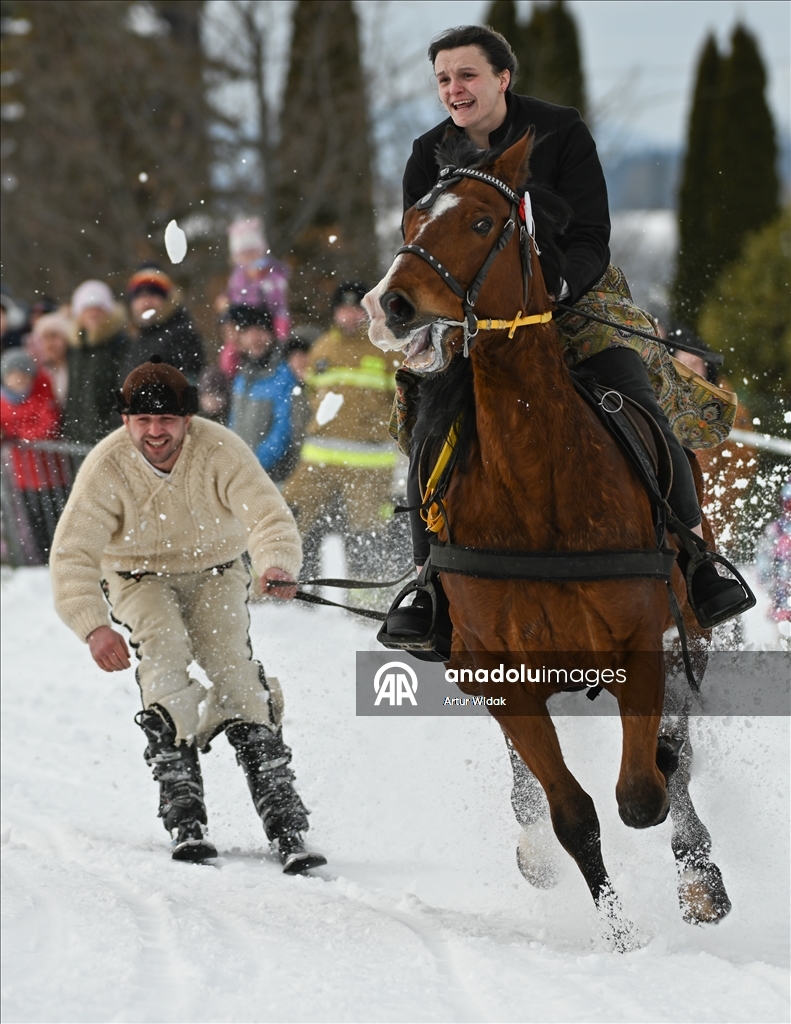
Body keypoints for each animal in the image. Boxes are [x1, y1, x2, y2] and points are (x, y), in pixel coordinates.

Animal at [364, 130, 731, 948]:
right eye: (411, 218)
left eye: (478, 222)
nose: (391, 305)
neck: (537, 487)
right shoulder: (501, 672)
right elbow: (573, 814)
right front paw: (620, 938)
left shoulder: (640, 641)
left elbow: (643, 792)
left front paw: (688, 877)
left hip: (684, 625)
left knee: (672, 765)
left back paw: (699, 877)